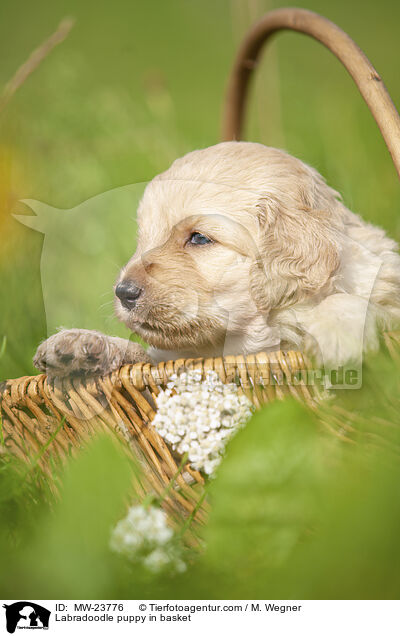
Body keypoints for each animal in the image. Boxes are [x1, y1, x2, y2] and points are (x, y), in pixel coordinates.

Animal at [33, 140, 400, 378]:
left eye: (198, 238)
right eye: (143, 239)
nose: (123, 292)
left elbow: (353, 302)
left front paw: (339, 334)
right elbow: (140, 355)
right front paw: (78, 343)